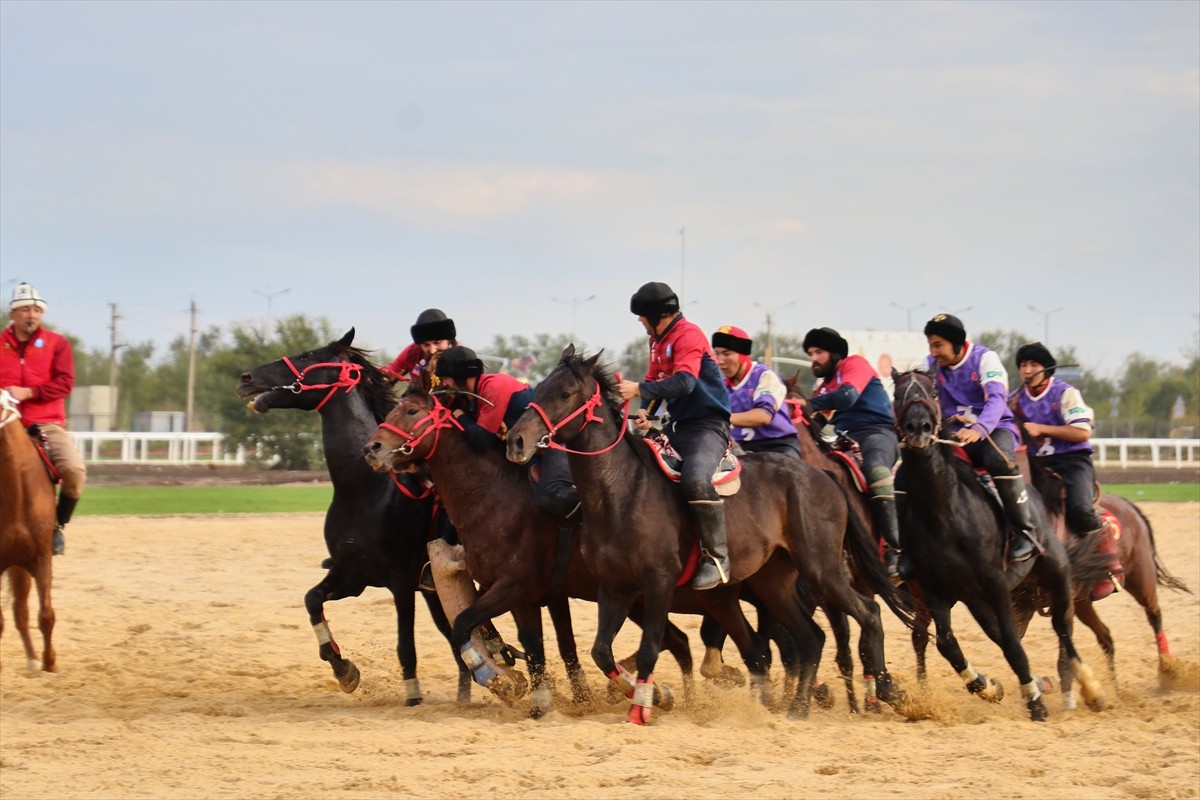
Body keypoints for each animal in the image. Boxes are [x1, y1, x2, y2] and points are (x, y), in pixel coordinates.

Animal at [504, 347, 907, 724]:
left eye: (566, 393)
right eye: (539, 387)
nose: (517, 441)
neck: (623, 490)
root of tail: (822, 476)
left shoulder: (659, 582)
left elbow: (650, 647)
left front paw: (642, 708)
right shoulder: (614, 587)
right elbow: (601, 651)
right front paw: (651, 694)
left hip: (822, 569)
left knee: (868, 613)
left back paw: (883, 694)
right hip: (774, 582)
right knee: (811, 639)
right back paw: (798, 709)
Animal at [892, 371, 1104, 724]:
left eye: (932, 392)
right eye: (897, 395)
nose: (918, 428)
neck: (944, 512)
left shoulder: (994, 582)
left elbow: (1012, 642)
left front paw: (1035, 702)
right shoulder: (936, 589)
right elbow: (948, 644)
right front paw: (986, 685)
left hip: (1056, 571)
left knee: (1062, 627)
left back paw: (1091, 688)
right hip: (978, 598)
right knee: (1002, 634)